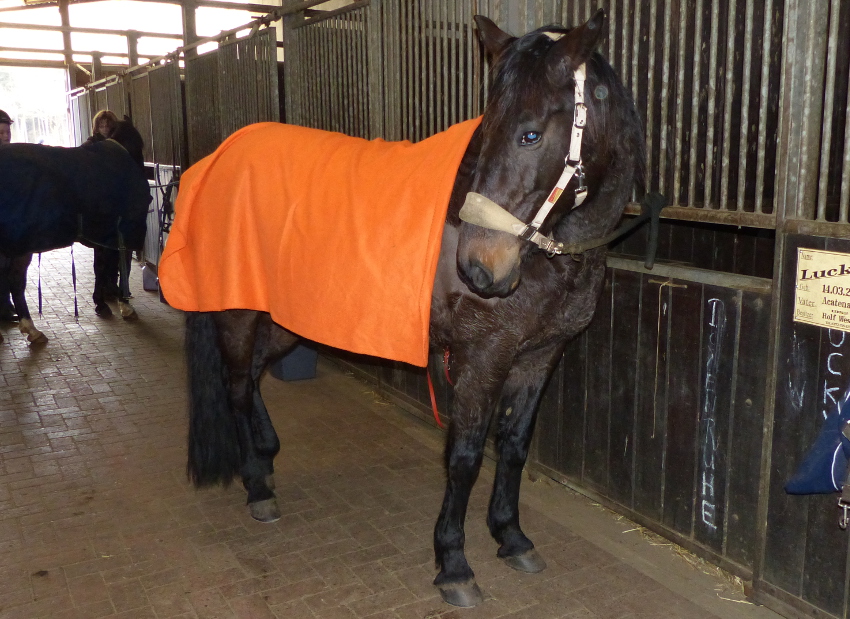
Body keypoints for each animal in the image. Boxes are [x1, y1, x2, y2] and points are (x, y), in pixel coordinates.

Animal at [0, 118, 151, 344]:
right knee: (16, 281)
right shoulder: (124, 234)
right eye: (140, 145)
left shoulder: (102, 236)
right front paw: (125, 305)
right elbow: (122, 267)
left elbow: (100, 267)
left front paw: (101, 304)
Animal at [170, 10, 646, 607]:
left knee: (254, 375)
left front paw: (511, 537)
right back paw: (256, 484)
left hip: (286, 320)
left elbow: (514, 447)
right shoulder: (482, 359)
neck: (549, 259)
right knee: (235, 385)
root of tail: (215, 160)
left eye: (531, 133)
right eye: (487, 128)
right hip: (237, 314)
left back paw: (267, 456)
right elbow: (465, 457)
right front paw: (454, 564)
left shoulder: (539, 357)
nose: (479, 268)